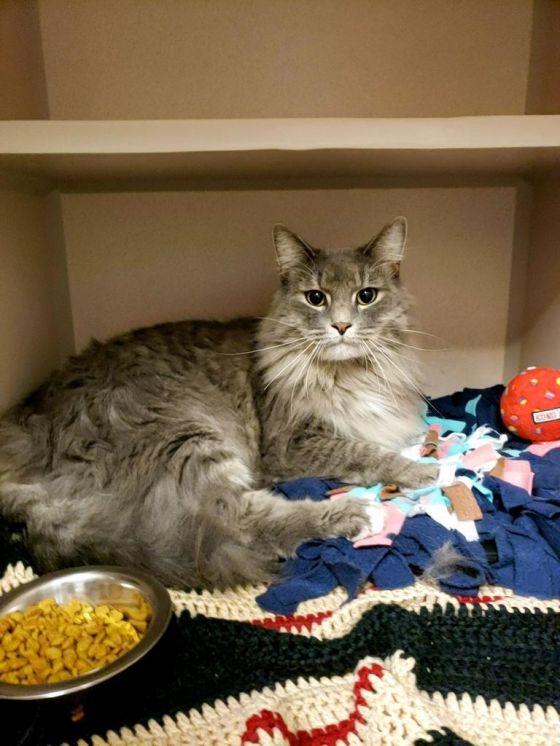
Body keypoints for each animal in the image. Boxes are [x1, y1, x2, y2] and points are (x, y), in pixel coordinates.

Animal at [0, 216, 437, 590]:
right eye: (316, 298)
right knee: (235, 519)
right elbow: (364, 452)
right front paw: (422, 471)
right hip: (189, 438)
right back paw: (354, 514)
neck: (347, 374)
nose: (342, 326)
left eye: (366, 296)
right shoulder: (290, 445)